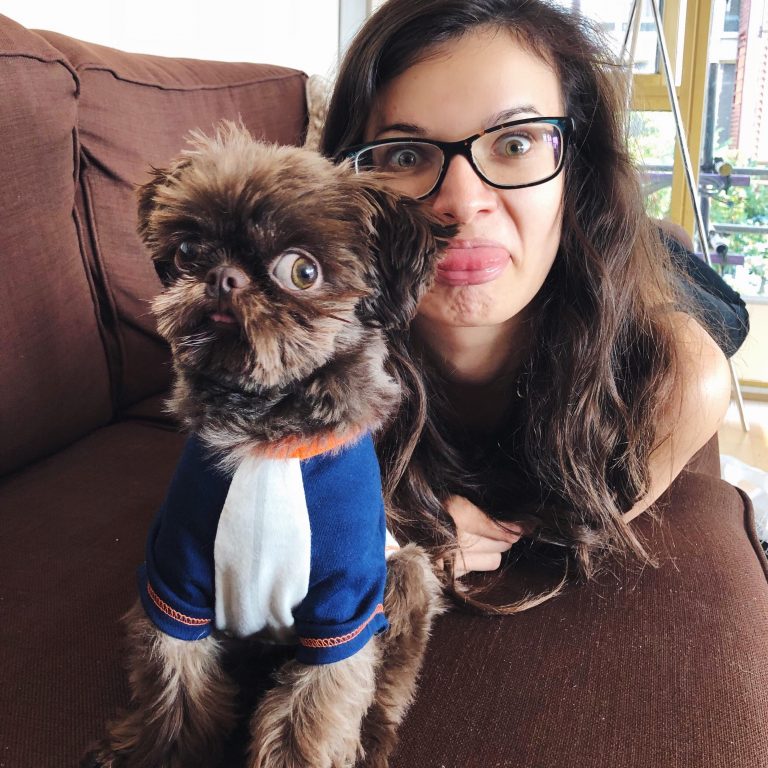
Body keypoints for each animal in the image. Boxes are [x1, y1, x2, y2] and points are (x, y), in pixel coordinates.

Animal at [83, 123, 451, 768]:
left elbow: (312, 716)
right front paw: (154, 751)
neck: (265, 436)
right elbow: (176, 692)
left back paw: (375, 737)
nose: (223, 277)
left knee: (391, 679)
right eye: (189, 252)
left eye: (302, 272)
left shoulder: (343, 611)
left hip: (404, 573)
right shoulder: (176, 583)